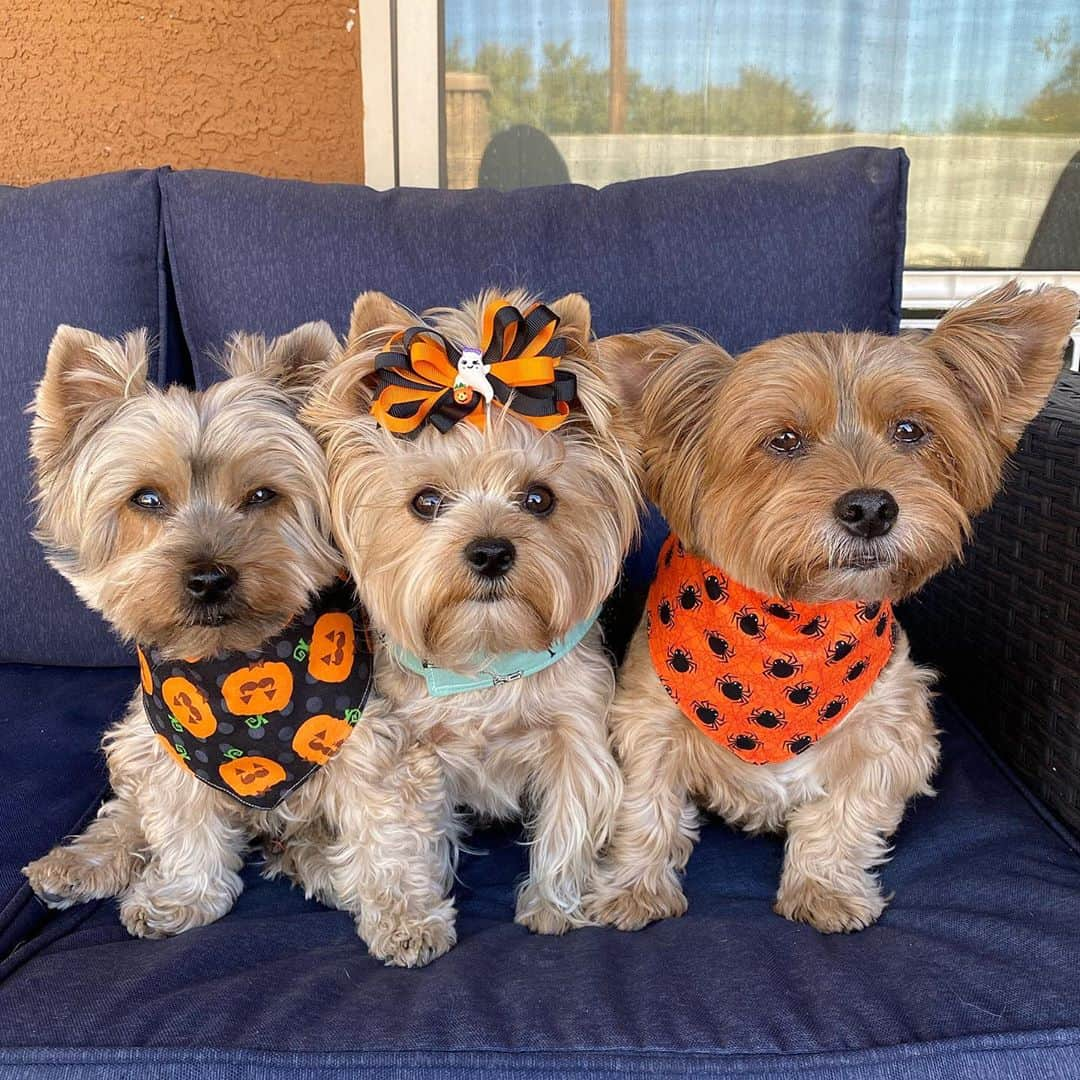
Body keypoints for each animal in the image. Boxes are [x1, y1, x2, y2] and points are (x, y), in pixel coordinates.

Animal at [587, 282, 1075, 933]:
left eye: (910, 430)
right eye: (784, 440)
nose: (871, 509)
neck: (789, 627)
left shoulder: (893, 733)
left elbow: (843, 817)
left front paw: (824, 890)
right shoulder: (648, 726)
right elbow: (647, 812)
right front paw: (633, 891)